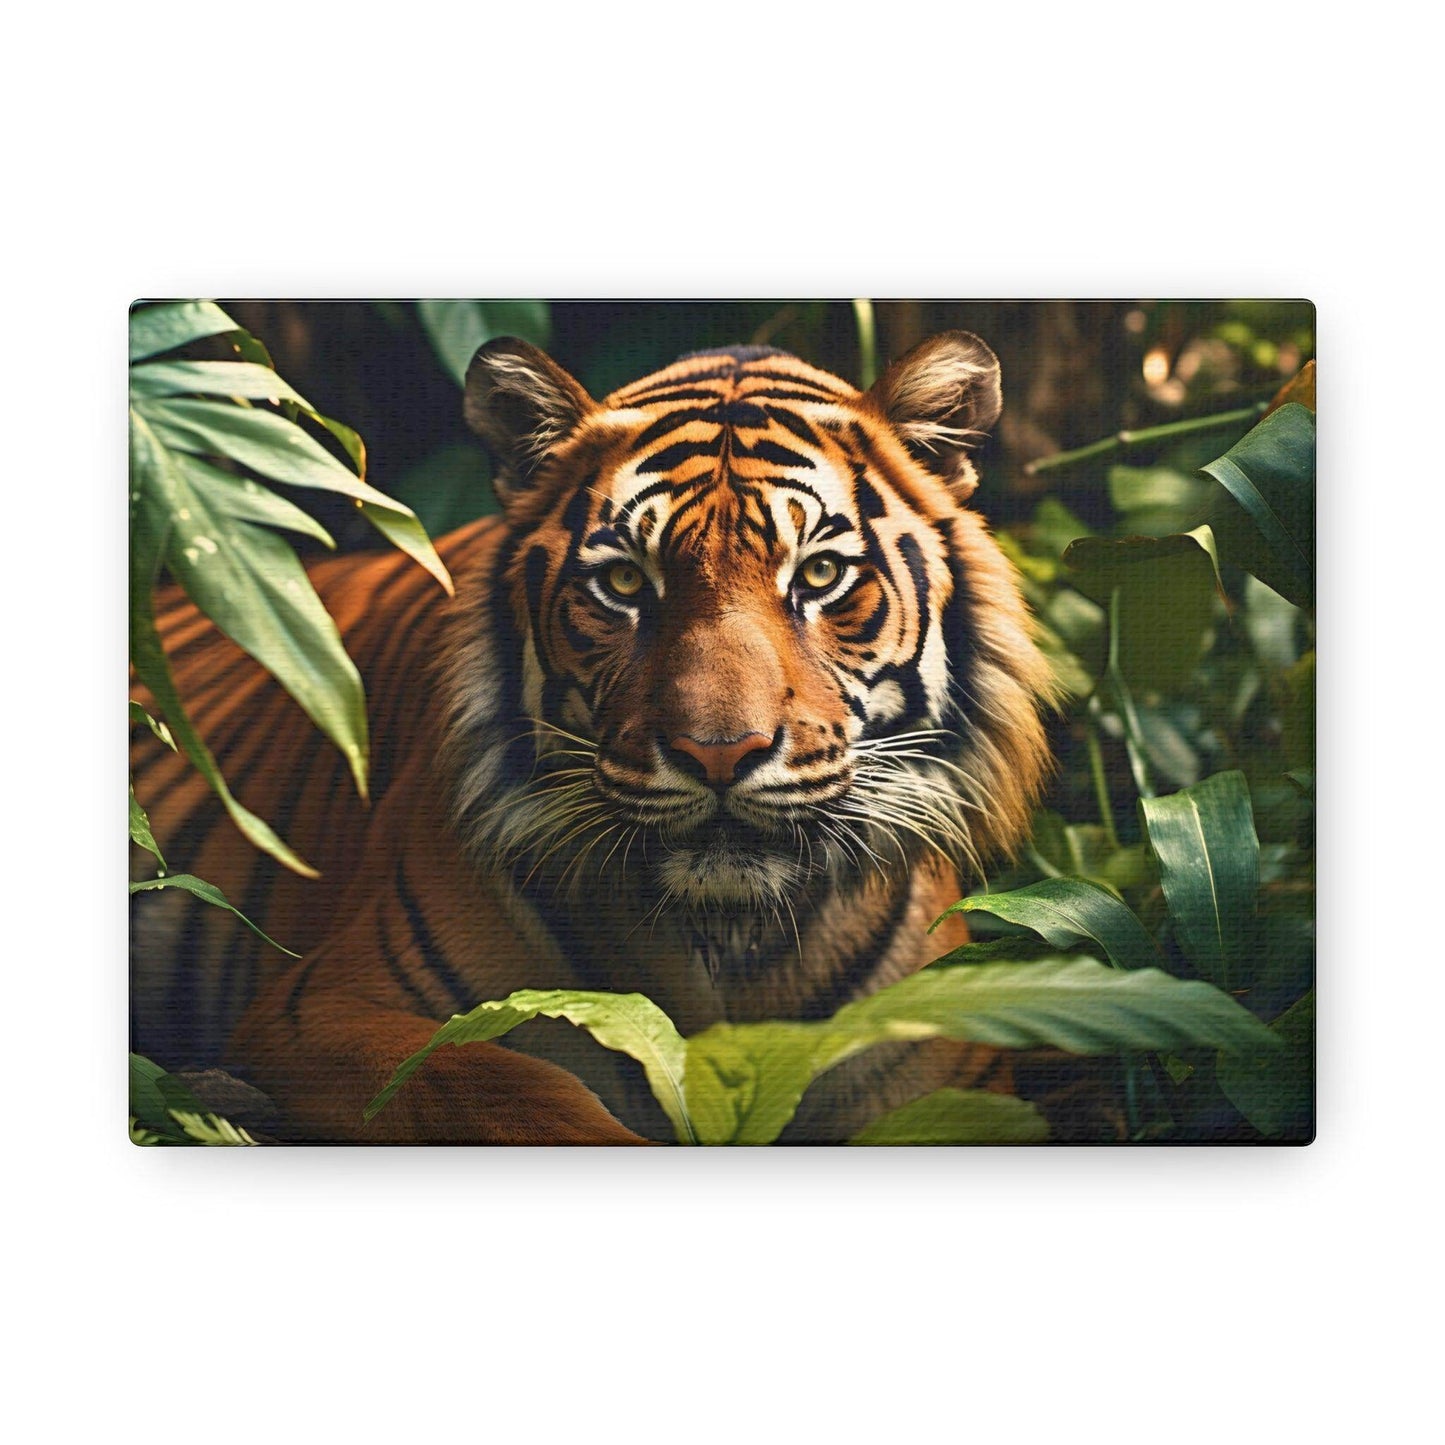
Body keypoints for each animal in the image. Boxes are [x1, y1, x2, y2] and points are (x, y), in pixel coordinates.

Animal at [131, 330, 1079, 1144]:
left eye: (818, 574)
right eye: (624, 582)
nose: (718, 752)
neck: (724, 947)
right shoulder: (319, 1008)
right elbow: (500, 1084)